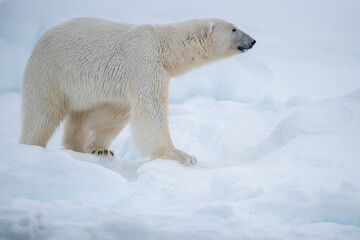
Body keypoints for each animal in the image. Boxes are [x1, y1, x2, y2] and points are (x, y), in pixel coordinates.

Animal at [19, 17, 256, 166]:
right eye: (234, 28)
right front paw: (180, 154)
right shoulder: (144, 62)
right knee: (42, 113)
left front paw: (98, 147)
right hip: (50, 72)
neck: (164, 45)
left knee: (82, 114)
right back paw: (31, 146)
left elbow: (117, 109)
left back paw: (83, 147)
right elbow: (151, 108)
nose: (252, 41)